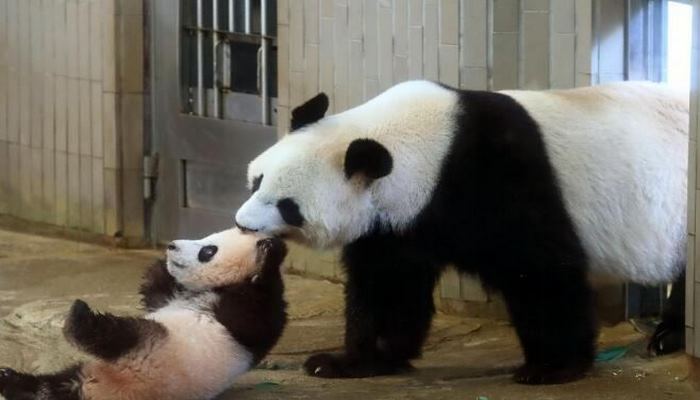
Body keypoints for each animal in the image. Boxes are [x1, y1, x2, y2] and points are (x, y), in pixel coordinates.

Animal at [0, 228, 288, 400]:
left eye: (208, 251)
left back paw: (78, 318)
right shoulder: (171, 299)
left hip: (152, 347)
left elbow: (254, 316)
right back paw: (9, 378)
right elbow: (155, 293)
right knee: (50, 387)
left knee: (116, 334)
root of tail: (99, 389)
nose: (172, 246)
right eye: (208, 237)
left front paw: (269, 254)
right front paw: (161, 263)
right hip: (90, 371)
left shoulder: (247, 315)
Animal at [235, 79, 688, 384]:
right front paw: (350, 361)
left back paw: (668, 337)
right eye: (257, 181)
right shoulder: (398, 222)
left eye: (288, 206)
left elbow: (541, 269)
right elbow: (389, 284)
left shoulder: (498, 175)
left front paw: (551, 366)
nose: (242, 224)